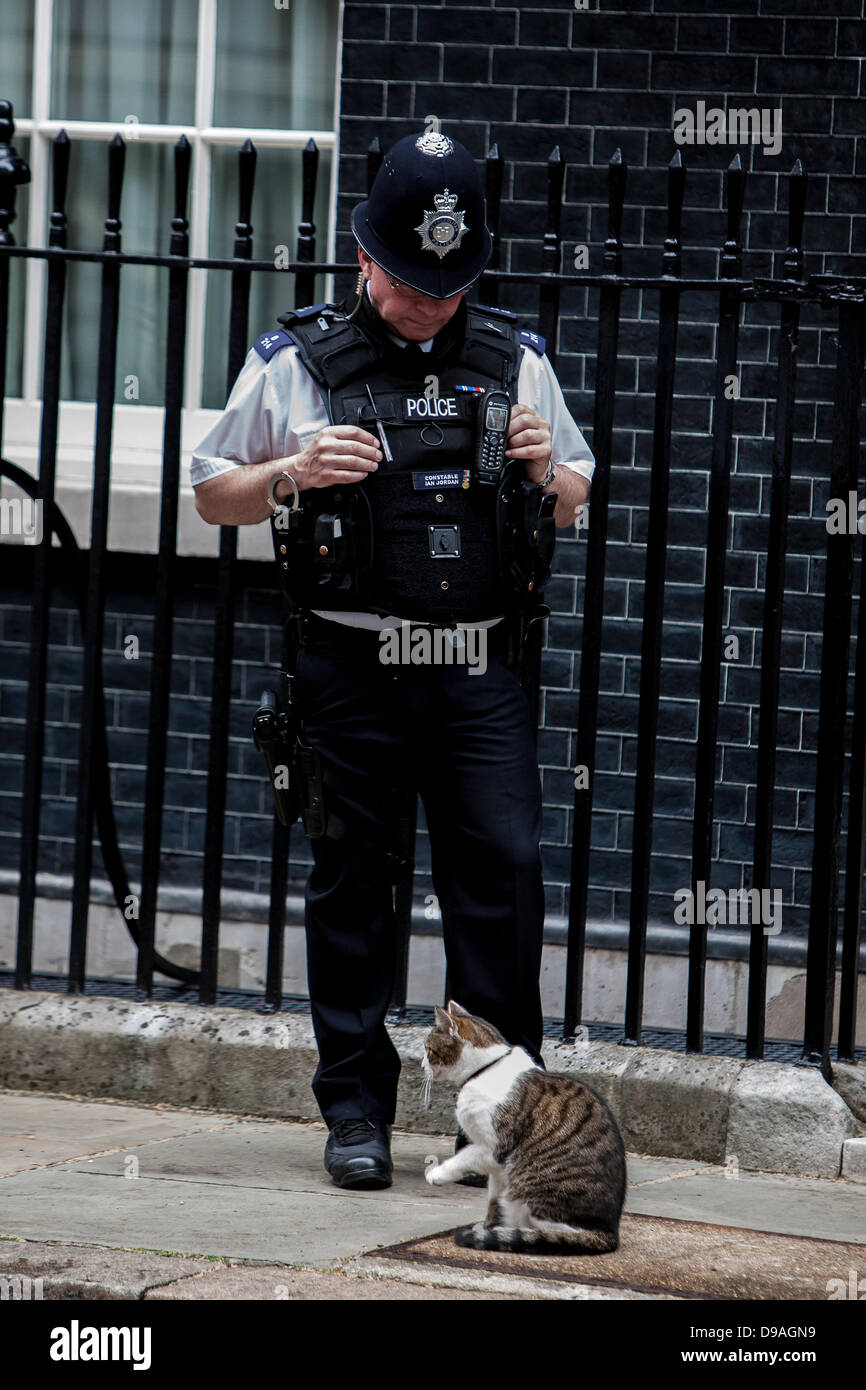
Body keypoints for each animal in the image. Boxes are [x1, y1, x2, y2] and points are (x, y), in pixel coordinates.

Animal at [419, 995, 622, 1256]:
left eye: (428, 1050)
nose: (421, 1066)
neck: (485, 1070)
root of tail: (609, 1232)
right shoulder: (497, 1169)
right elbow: (493, 1200)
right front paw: (490, 1227)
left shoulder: (494, 1147)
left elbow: (464, 1156)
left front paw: (438, 1173)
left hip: (534, 1184)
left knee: (559, 1232)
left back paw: (528, 1233)